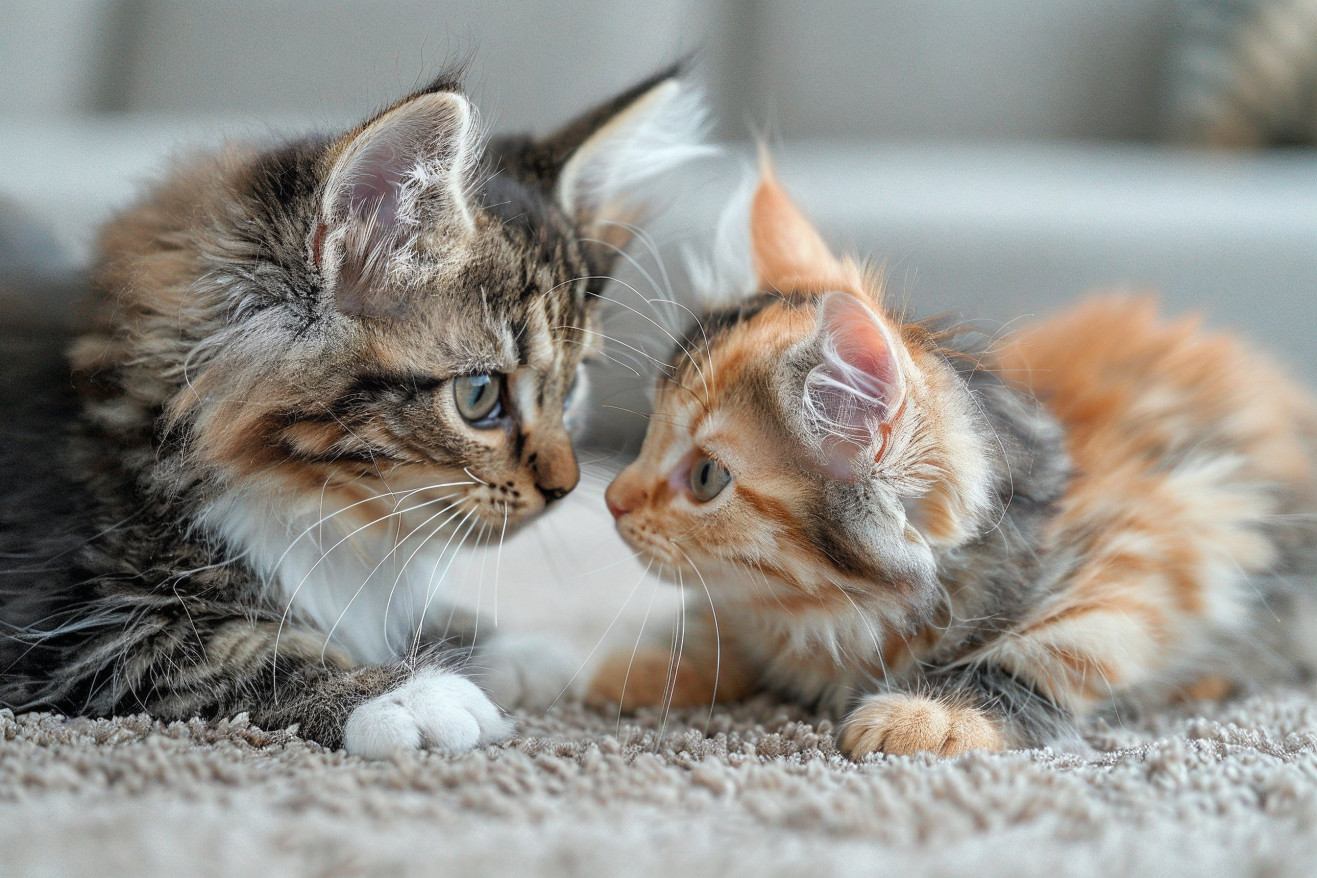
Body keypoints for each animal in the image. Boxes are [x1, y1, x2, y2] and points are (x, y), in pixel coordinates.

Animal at [0, 67, 716, 758]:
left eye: (569, 392)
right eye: (480, 396)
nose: (565, 488)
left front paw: (507, 649)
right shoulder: (68, 617)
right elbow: (230, 649)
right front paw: (406, 695)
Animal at [587, 166, 1317, 763]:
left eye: (706, 478)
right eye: (649, 431)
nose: (612, 499)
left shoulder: (1155, 548)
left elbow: (1045, 651)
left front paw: (930, 715)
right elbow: (718, 622)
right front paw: (652, 665)